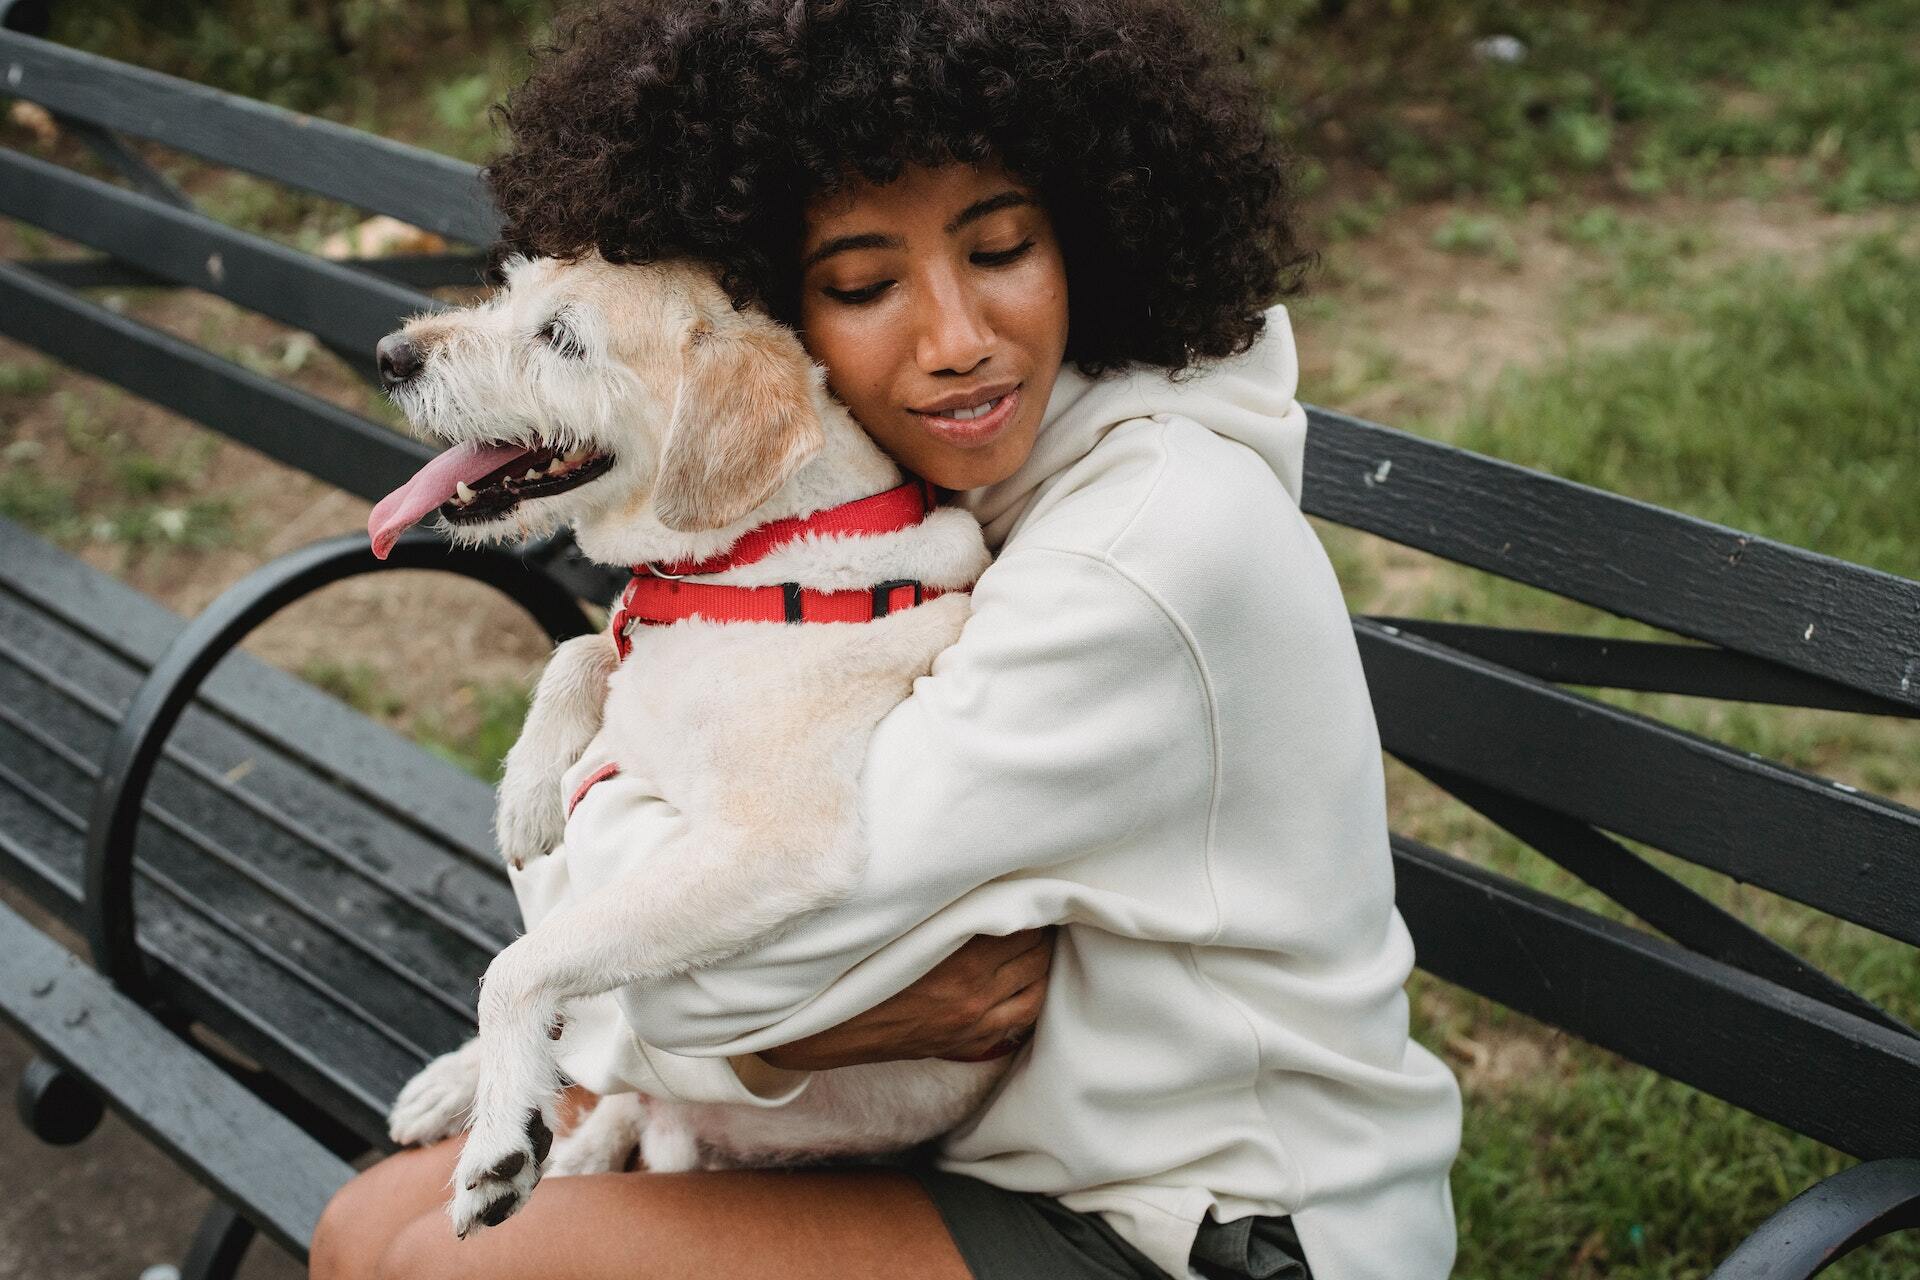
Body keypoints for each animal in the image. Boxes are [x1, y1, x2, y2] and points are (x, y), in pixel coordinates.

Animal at [364, 253, 1013, 1243]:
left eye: (562, 336)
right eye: (510, 286)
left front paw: (500, 1145)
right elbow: (581, 646)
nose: (391, 356)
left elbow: (518, 969)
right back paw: (455, 1088)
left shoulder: (769, 848)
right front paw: (527, 795)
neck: (761, 558)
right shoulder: (635, 643)